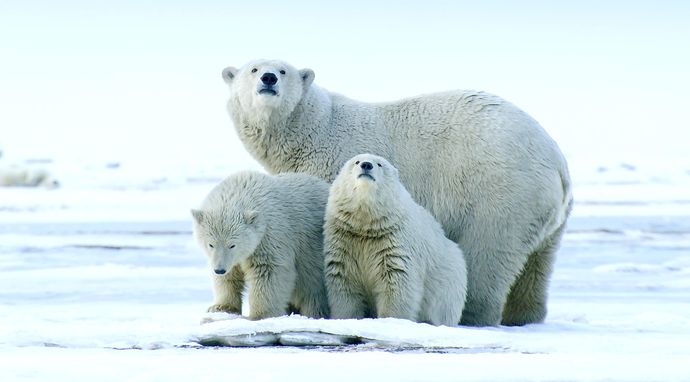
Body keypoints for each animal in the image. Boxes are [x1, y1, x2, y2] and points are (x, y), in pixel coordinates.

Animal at [188, 171, 328, 320]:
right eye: (211, 244)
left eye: (232, 245)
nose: (219, 270)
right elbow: (230, 275)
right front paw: (220, 307)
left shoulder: (270, 236)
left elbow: (267, 270)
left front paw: (260, 315)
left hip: (312, 252)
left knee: (312, 289)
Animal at [324, 154, 468, 326]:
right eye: (356, 162)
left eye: (379, 164)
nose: (366, 165)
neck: (367, 226)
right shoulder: (346, 240)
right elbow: (344, 282)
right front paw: (346, 318)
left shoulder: (394, 243)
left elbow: (396, 283)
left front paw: (391, 320)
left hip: (449, 286)